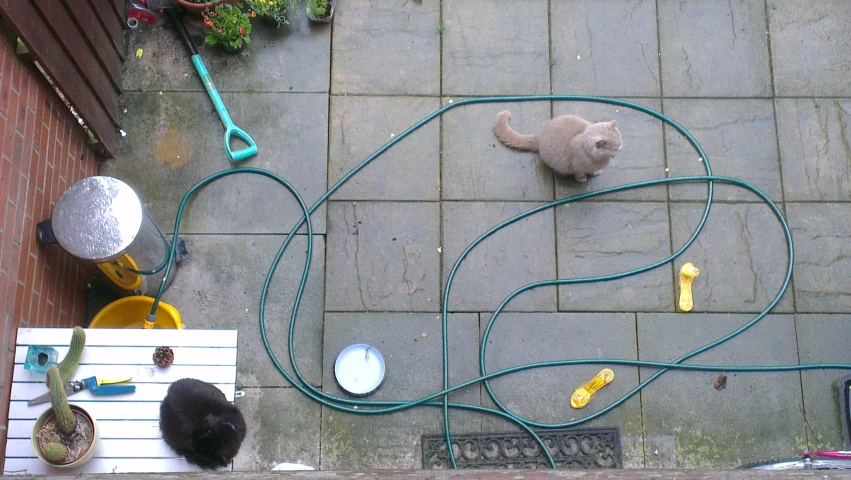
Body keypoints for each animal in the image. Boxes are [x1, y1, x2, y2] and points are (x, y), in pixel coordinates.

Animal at [492, 111, 624, 183]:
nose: (620, 150)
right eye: (615, 148)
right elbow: (580, 173)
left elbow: (593, 170)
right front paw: (582, 179)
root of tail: (541, 135)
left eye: (620, 144)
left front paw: (595, 172)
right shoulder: (578, 167)